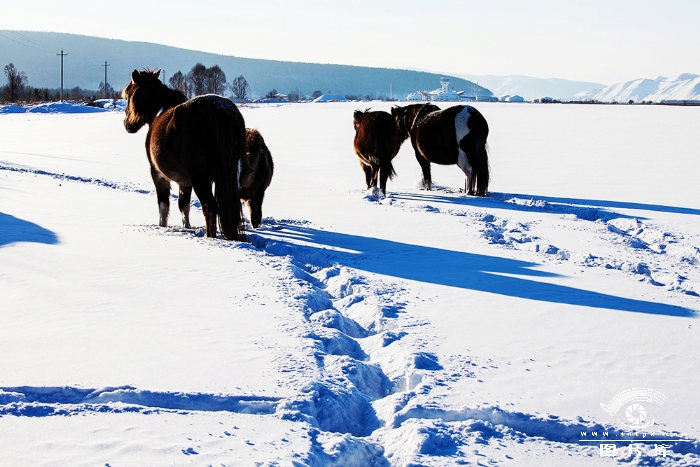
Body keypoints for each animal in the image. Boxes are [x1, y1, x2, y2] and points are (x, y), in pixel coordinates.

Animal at [122, 69, 246, 241]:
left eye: (129, 95)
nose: (127, 125)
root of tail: (217, 110)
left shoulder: (158, 174)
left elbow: (163, 205)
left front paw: (162, 226)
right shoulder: (185, 181)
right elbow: (184, 206)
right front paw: (186, 227)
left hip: (200, 178)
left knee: (209, 205)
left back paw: (210, 237)